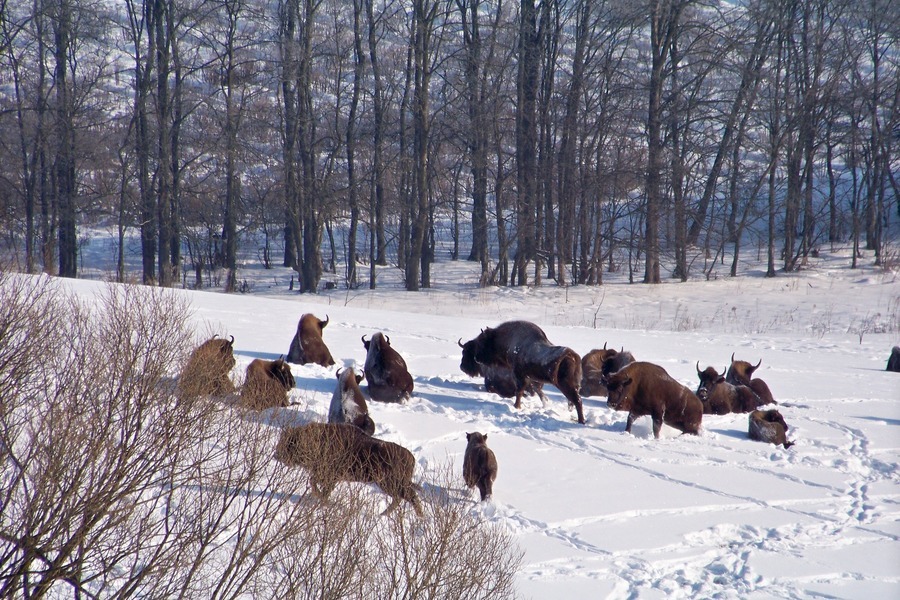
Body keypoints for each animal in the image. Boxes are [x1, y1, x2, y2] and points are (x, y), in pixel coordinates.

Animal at [272, 422, 424, 516]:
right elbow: (314, 482)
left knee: (410, 497)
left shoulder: (330, 477)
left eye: (290, 443)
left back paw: (419, 517)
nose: (276, 455)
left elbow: (320, 487)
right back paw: (383, 514)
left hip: (389, 484)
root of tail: (411, 458)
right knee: (400, 498)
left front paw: (322, 501)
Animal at [460, 322, 588, 424]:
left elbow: (520, 391)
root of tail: (572, 356)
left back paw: (581, 421)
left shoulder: (520, 376)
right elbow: (536, 392)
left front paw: (516, 406)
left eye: (483, 342)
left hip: (566, 386)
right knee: (574, 401)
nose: (476, 358)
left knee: (577, 400)